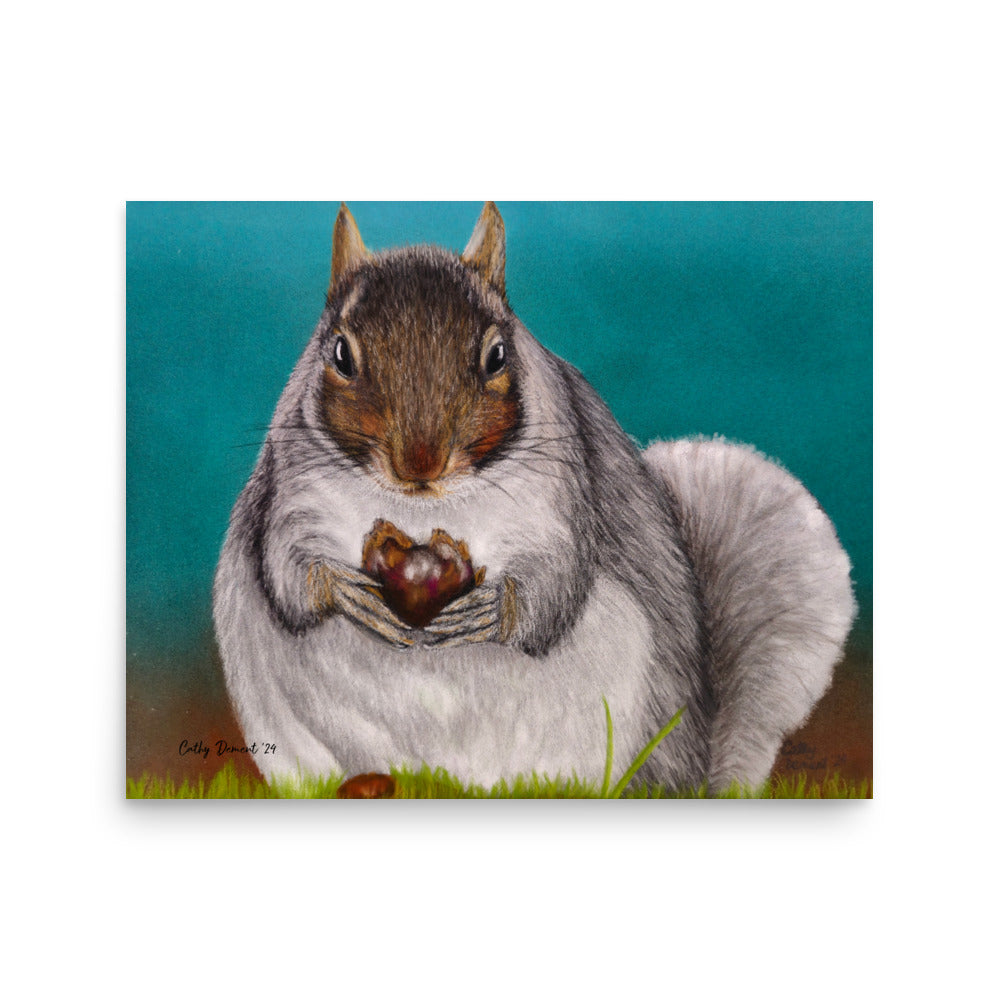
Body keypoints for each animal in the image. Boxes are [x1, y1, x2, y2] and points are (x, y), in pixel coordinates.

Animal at [212, 202, 857, 794]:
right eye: (340, 354)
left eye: (497, 354)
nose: (420, 464)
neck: (423, 508)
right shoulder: (293, 493)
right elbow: (288, 571)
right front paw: (346, 590)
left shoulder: (563, 499)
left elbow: (557, 582)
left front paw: (492, 609)